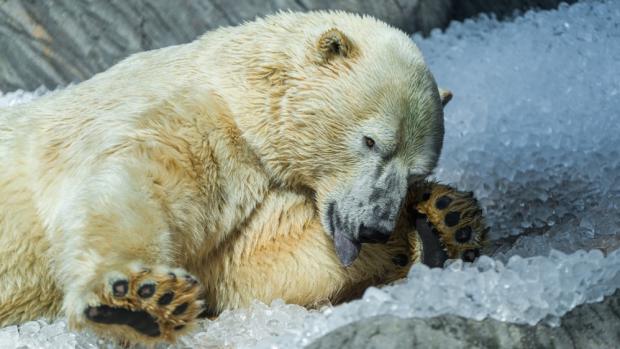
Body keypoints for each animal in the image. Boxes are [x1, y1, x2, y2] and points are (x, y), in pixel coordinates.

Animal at [0, 10, 484, 342]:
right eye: (370, 141)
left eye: (418, 169)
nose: (374, 227)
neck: (234, 92)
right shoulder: (186, 122)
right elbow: (135, 187)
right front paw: (139, 298)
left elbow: (258, 260)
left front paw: (442, 220)